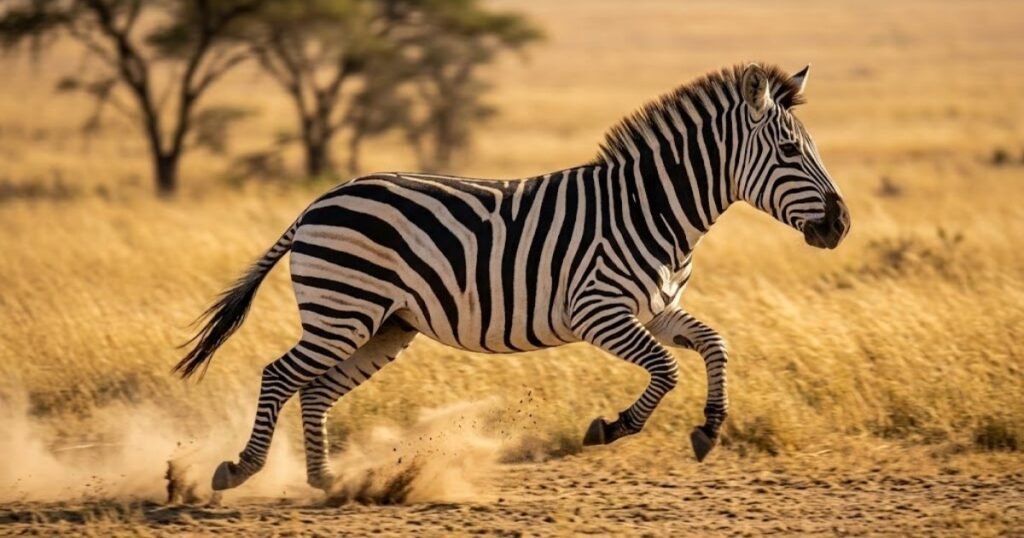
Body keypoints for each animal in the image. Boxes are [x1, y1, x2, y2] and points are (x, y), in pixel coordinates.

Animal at [177, 62, 850, 492]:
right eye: (792, 152)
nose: (840, 224)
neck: (652, 206)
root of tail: (320, 200)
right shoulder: (599, 310)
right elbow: (667, 369)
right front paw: (612, 428)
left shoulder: (655, 308)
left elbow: (714, 344)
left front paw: (709, 430)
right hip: (344, 310)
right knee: (278, 375)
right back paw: (241, 469)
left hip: (385, 326)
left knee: (314, 390)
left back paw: (328, 481)